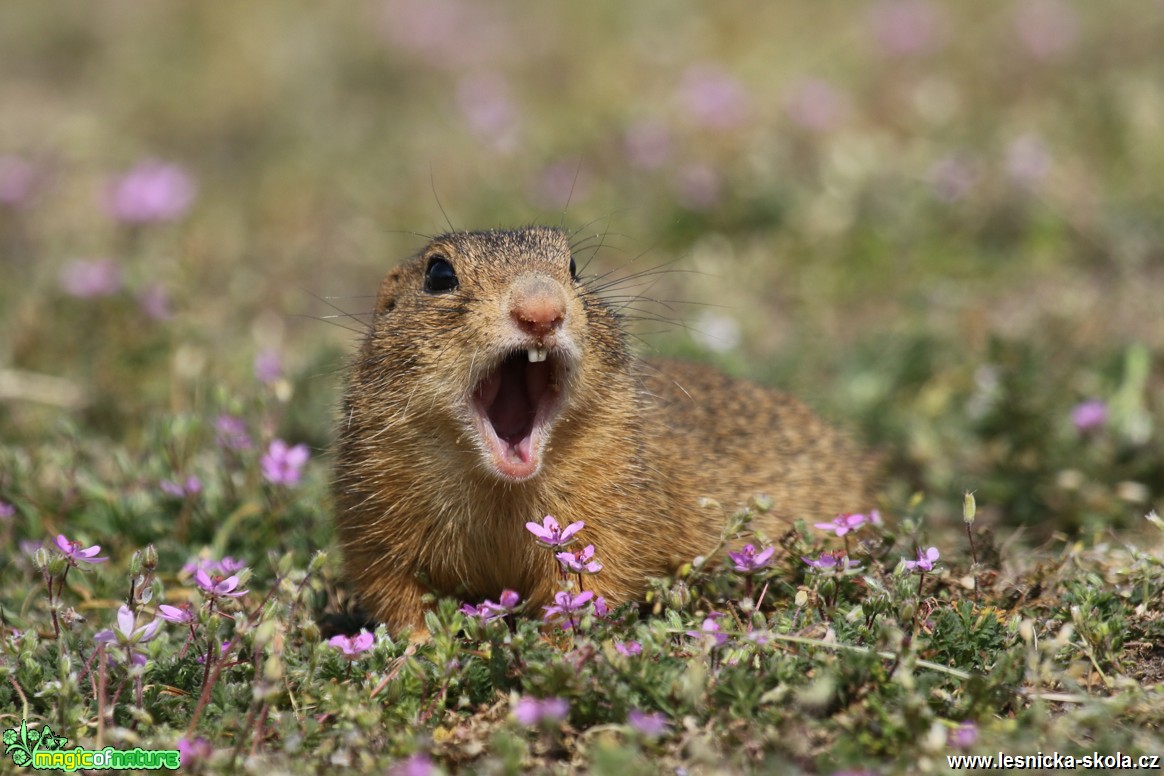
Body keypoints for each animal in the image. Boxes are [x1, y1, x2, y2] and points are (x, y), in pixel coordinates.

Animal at [332, 225, 875, 637]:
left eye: (573, 266)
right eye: (439, 274)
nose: (541, 310)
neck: (501, 489)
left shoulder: (612, 501)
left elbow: (590, 580)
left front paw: (559, 643)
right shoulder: (373, 506)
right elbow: (394, 590)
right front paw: (417, 647)